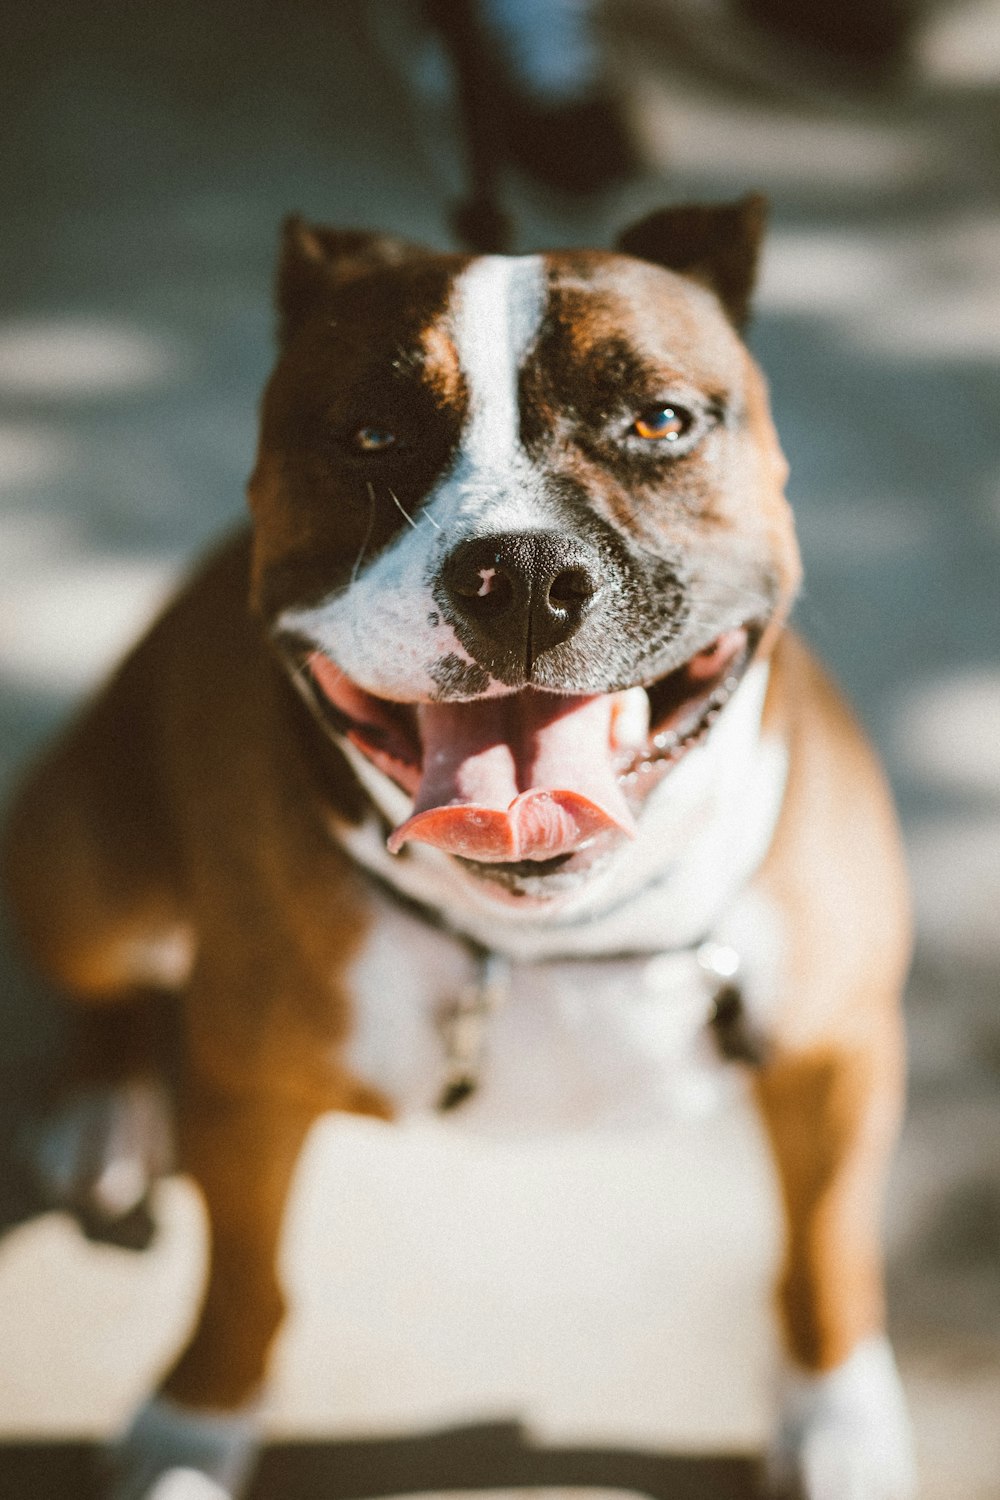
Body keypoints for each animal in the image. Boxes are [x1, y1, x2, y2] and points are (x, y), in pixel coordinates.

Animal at [1, 202, 917, 1500]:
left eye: (658, 421)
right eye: (371, 432)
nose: (523, 575)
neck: (547, 943)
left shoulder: (840, 1056)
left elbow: (827, 1257)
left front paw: (839, 1425)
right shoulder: (242, 1090)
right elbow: (242, 1281)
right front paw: (192, 1427)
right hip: (91, 867)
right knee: (106, 979)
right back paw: (98, 1107)